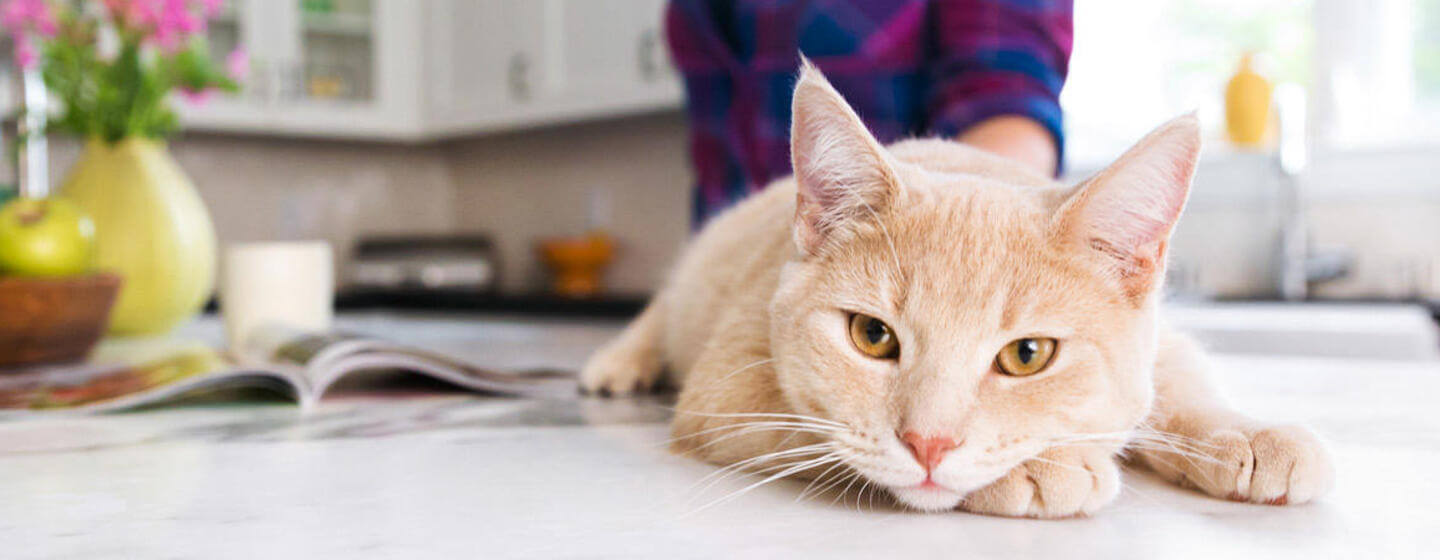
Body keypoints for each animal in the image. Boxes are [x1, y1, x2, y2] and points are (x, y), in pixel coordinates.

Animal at [578, 60, 1330, 515]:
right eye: (872, 336)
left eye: (1027, 355)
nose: (929, 445)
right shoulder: (727, 387)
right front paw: (1037, 468)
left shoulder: (1161, 342)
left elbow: (1176, 384)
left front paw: (1243, 432)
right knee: (660, 306)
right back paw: (619, 361)